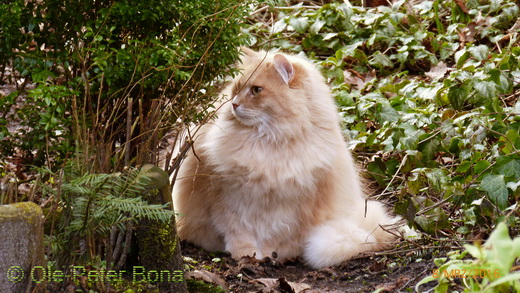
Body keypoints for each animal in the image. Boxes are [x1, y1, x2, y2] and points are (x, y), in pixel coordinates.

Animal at [173, 47, 400, 266]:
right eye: (236, 89)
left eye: (256, 90)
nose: (234, 104)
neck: (270, 141)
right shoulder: (227, 198)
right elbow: (239, 233)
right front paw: (246, 256)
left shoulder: (292, 206)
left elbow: (279, 236)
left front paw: (273, 257)